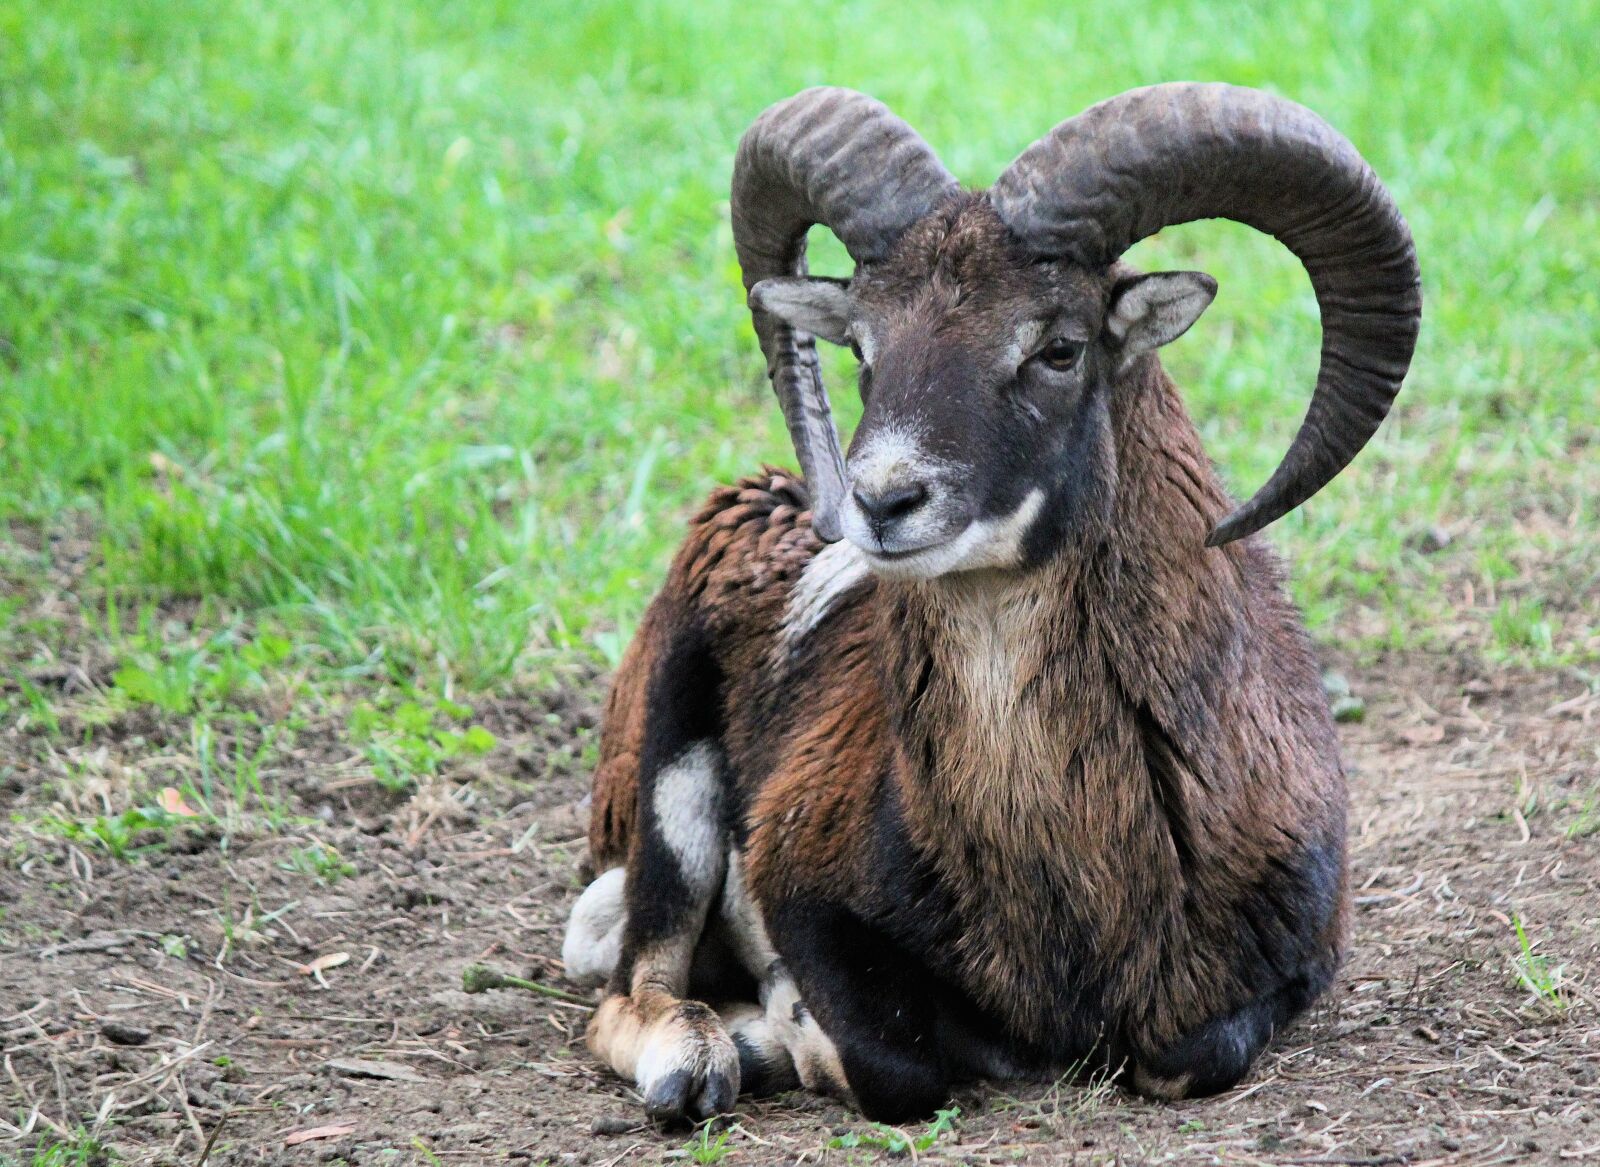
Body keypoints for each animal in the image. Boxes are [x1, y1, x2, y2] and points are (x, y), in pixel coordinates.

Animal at [560, 83, 1421, 1125]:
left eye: (1059, 348)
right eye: (863, 348)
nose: (880, 501)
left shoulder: (1283, 964)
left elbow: (1188, 1054)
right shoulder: (800, 890)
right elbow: (895, 1064)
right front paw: (788, 1020)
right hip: (670, 793)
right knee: (634, 990)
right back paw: (707, 1057)